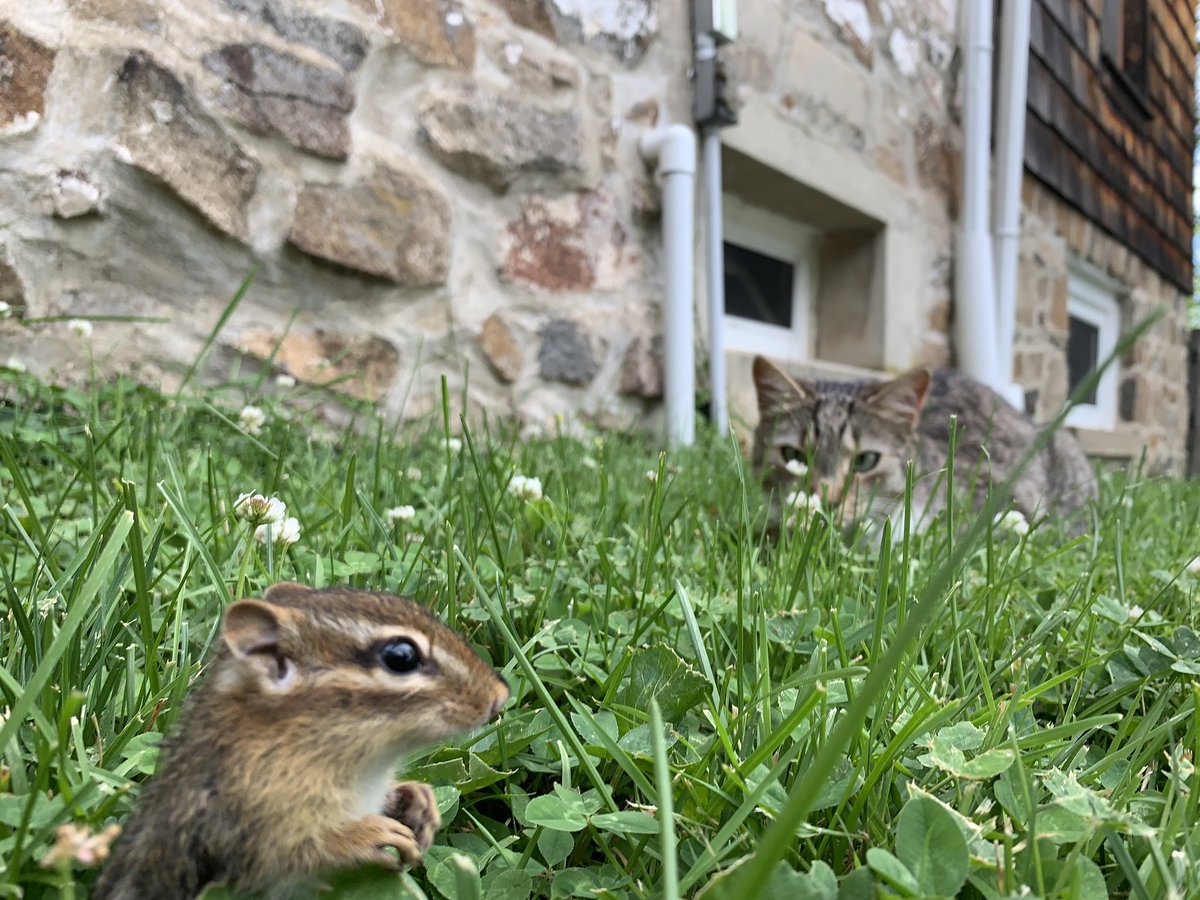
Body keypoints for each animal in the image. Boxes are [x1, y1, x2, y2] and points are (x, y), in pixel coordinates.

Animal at [93, 583, 509, 899]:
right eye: (400, 656)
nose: (500, 697)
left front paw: (417, 799)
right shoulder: (246, 827)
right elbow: (287, 856)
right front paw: (364, 835)